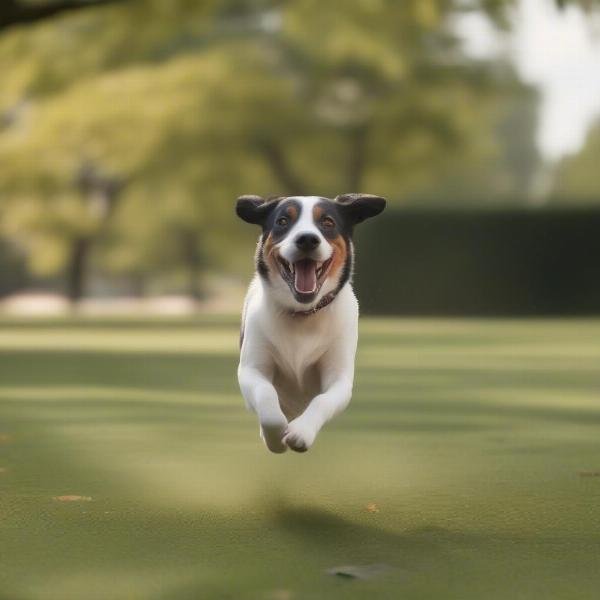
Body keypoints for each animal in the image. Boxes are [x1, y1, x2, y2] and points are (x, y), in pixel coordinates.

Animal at [234, 195, 384, 452]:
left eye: (328, 222)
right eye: (283, 221)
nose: (307, 239)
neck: (303, 315)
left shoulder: (339, 379)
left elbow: (323, 400)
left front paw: (301, 432)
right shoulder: (251, 370)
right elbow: (266, 396)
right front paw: (275, 438)